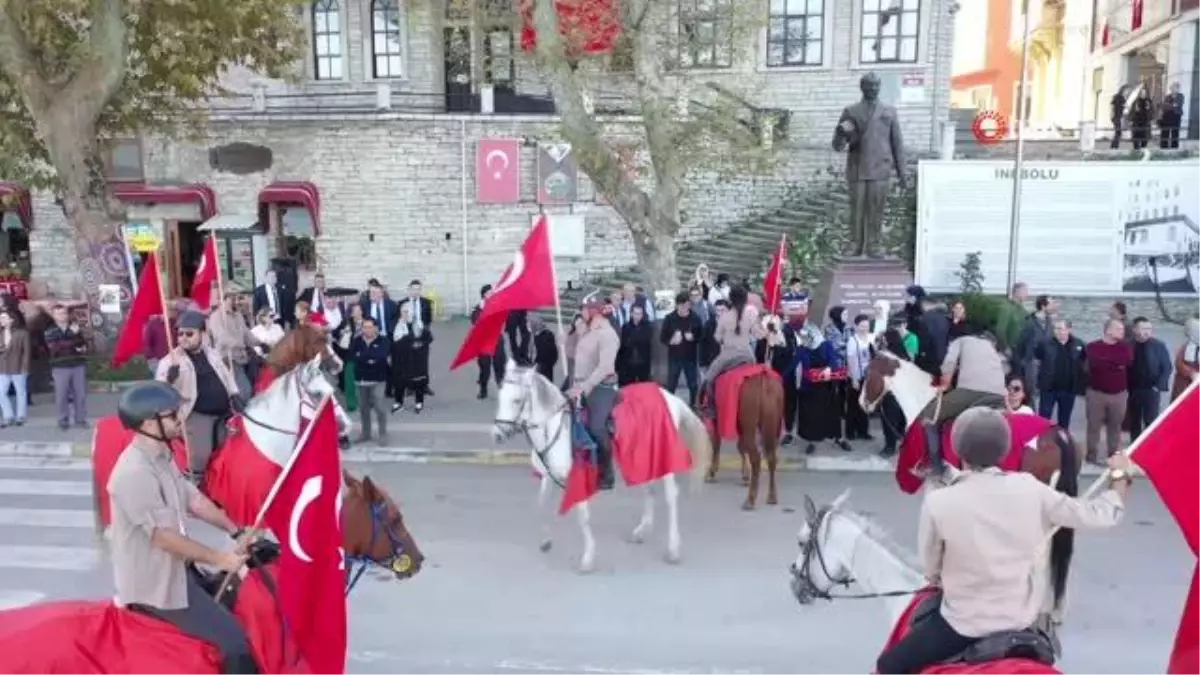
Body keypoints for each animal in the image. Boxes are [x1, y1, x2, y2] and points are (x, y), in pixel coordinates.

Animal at [489, 365, 710, 569]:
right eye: (501, 396)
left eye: (517, 400)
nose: (497, 435)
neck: (555, 427)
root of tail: (668, 395)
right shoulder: (547, 477)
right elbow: (540, 505)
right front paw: (545, 541)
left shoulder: (578, 478)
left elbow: (583, 518)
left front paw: (587, 558)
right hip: (643, 459)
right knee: (650, 490)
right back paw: (642, 531)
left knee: (671, 496)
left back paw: (673, 549)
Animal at [700, 367, 787, 509]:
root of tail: (763, 379)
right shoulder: (741, 426)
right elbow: (741, 447)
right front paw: (745, 475)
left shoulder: (716, 421)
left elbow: (717, 444)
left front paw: (711, 472)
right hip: (770, 426)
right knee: (771, 458)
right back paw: (771, 497)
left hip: (750, 425)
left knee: (756, 458)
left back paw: (750, 499)